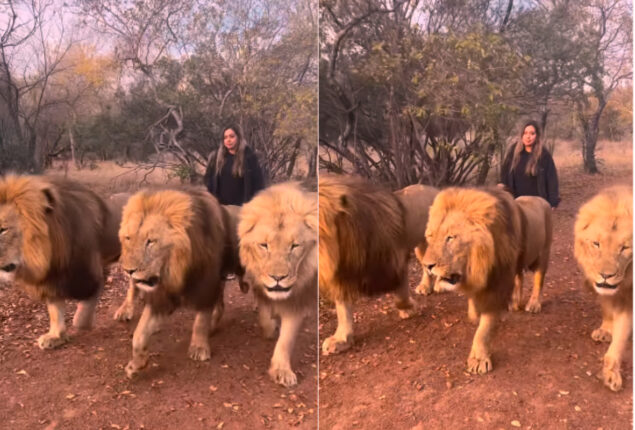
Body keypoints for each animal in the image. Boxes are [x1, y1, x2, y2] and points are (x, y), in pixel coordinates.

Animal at [0, 174, 121, 350]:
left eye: (2, 229)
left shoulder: (91, 272)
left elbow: (83, 312)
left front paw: (84, 323)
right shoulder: (51, 278)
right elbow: (55, 311)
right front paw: (56, 336)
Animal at [118, 188, 238, 376]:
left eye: (150, 241)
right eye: (129, 238)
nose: (128, 270)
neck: (175, 271)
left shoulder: (206, 284)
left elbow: (201, 320)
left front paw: (198, 348)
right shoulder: (160, 296)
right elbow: (139, 334)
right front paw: (136, 364)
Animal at [238, 181, 318, 386]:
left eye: (295, 246)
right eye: (264, 245)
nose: (278, 278)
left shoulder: (298, 299)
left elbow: (287, 338)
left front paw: (282, 370)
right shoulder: (259, 286)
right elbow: (266, 321)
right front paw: (270, 324)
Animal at [422, 187, 520, 372]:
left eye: (450, 238)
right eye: (430, 236)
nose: (427, 265)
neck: (477, 268)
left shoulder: (497, 283)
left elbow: (485, 328)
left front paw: (479, 359)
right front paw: (474, 314)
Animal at [572, 186, 632, 392]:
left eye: (625, 248)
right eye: (596, 244)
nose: (606, 275)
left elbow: (620, 339)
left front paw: (611, 373)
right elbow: (606, 308)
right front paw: (606, 330)